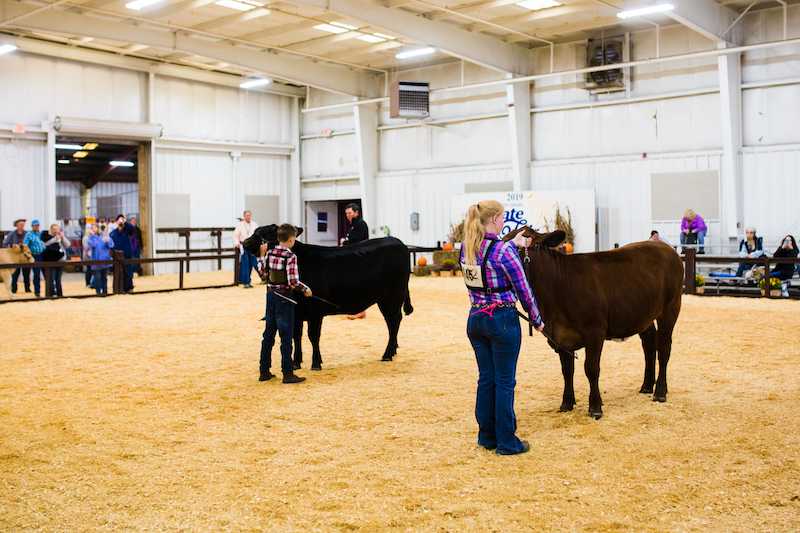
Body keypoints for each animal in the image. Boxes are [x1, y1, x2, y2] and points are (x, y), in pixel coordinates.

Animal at [244, 224, 412, 370]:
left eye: (264, 234)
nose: (244, 243)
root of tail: (398, 242)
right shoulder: (297, 311)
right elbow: (296, 336)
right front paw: (296, 362)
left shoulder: (315, 312)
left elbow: (313, 336)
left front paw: (316, 363)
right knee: (392, 323)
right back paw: (393, 351)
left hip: (392, 297)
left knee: (394, 321)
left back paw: (387, 354)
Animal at [506, 227, 680, 418]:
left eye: (516, 245)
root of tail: (667, 248)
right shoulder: (560, 336)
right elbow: (567, 371)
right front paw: (566, 403)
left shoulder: (595, 331)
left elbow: (591, 368)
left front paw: (595, 407)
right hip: (643, 314)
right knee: (649, 345)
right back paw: (647, 386)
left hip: (670, 308)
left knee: (664, 349)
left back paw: (660, 392)